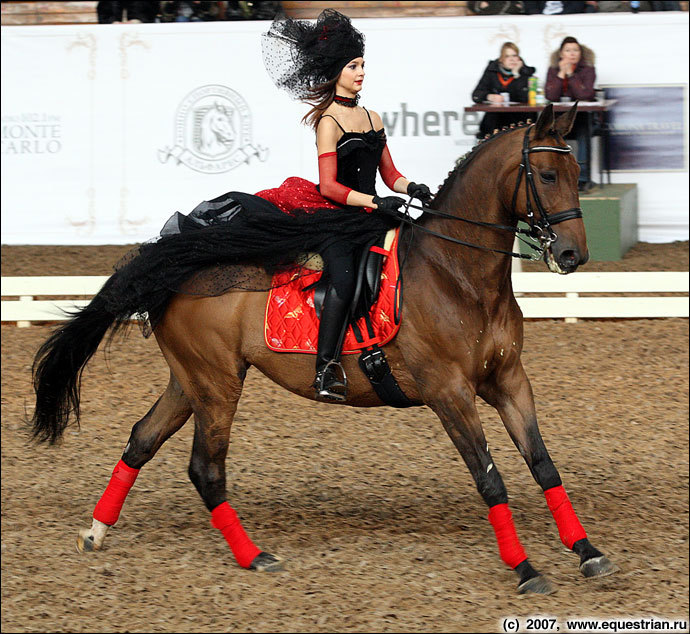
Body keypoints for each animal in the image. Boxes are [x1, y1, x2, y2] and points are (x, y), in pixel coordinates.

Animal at [29, 103, 616, 592]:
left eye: (577, 177)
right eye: (546, 176)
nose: (572, 255)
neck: (459, 275)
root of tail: (179, 266)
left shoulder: (509, 380)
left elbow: (544, 465)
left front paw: (587, 552)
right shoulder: (449, 391)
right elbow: (490, 479)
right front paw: (526, 569)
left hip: (191, 380)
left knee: (142, 440)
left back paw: (95, 532)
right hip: (217, 385)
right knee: (205, 468)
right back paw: (254, 556)